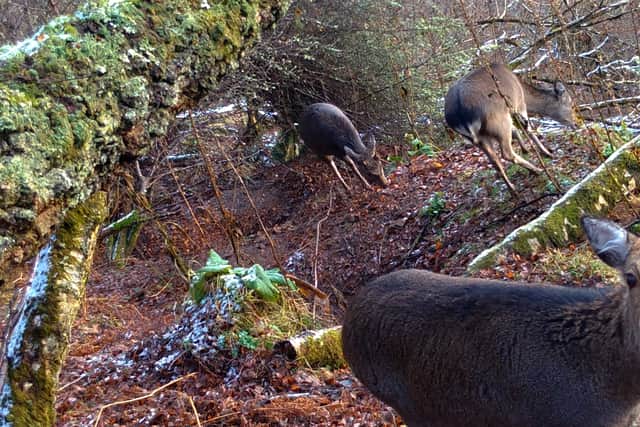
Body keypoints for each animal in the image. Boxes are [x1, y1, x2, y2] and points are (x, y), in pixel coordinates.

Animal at [444, 63, 576, 196]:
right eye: (569, 103)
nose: (575, 123)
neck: (522, 90)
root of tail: (460, 116)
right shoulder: (519, 104)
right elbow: (527, 129)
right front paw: (547, 152)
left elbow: (516, 130)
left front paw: (525, 149)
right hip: (499, 122)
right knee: (506, 153)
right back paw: (536, 170)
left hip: (476, 138)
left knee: (494, 160)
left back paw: (512, 189)